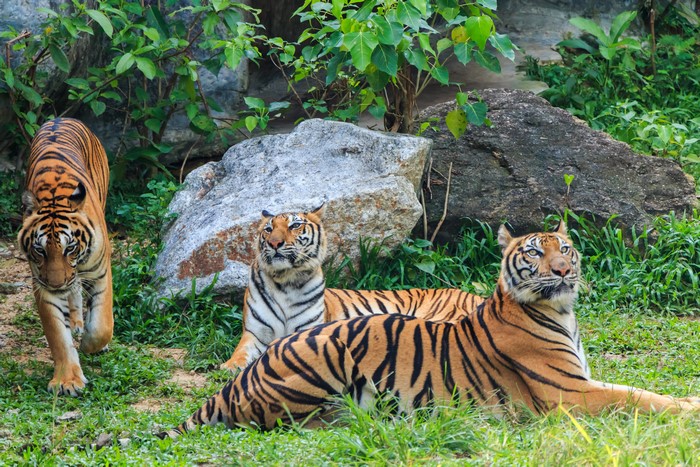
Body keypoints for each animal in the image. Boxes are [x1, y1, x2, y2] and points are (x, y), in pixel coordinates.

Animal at [17, 118, 113, 397]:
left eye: (69, 248)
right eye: (40, 250)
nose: (57, 283)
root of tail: (61, 118)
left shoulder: (101, 271)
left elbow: (102, 325)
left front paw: (91, 344)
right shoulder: (42, 284)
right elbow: (58, 335)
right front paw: (67, 381)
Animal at [160, 221, 700, 439]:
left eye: (564, 249)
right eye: (534, 253)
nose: (564, 272)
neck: (562, 312)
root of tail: (236, 384)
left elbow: (638, 391)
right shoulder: (568, 393)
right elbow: (637, 397)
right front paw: (689, 407)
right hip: (325, 358)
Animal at [220, 204, 485, 371]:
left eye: (295, 226)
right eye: (268, 229)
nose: (275, 243)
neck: (286, 281)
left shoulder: (306, 330)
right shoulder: (254, 333)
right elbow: (240, 353)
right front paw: (229, 367)